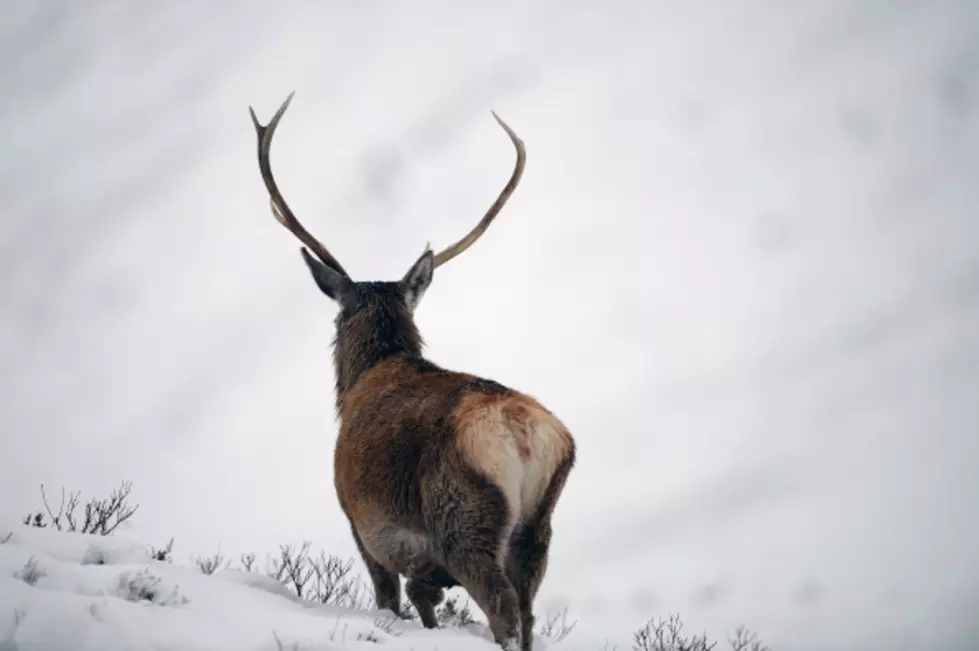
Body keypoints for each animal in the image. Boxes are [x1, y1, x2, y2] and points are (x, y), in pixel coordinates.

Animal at [249, 93, 580, 651]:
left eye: (337, 316)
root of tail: (524, 432)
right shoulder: (424, 565)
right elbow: (426, 600)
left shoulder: (360, 523)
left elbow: (390, 598)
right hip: (538, 528)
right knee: (530, 614)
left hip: (465, 519)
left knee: (503, 610)